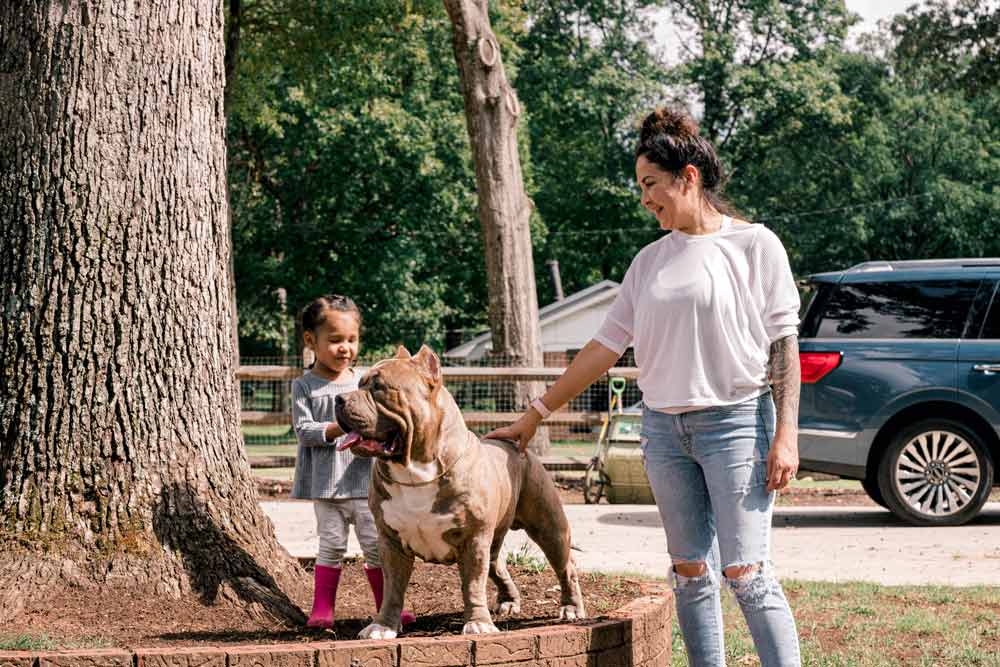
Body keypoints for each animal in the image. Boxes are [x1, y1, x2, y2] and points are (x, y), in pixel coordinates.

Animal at [336, 344, 584, 636]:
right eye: (359, 384)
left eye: (379, 387)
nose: (339, 399)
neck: (415, 471)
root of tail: (515, 444)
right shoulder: (390, 541)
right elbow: (392, 588)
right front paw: (382, 626)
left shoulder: (473, 539)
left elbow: (473, 585)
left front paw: (478, 623)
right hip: (494, 539)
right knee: (497, 565)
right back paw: (508, 601)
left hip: (549, 529)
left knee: (565, 567)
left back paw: (571, 607)